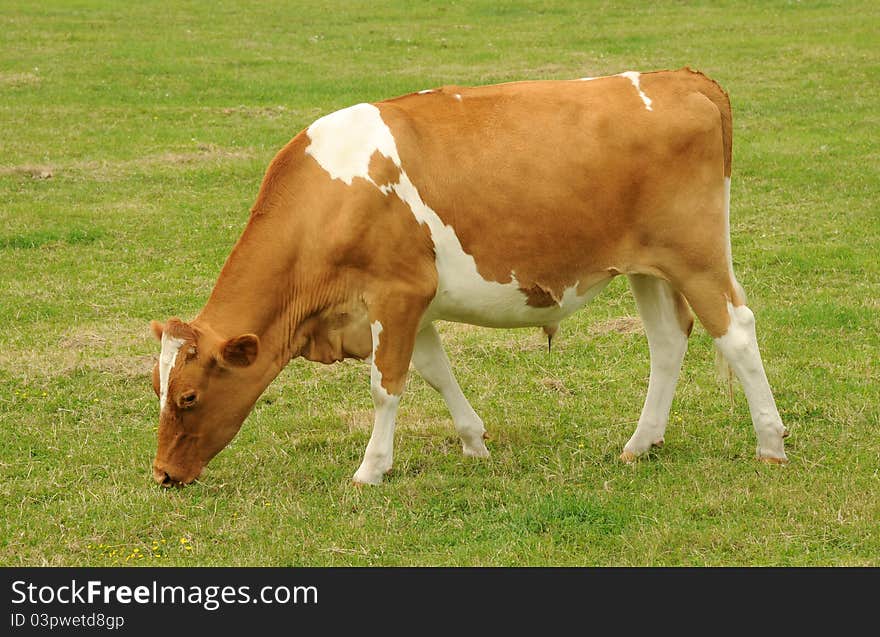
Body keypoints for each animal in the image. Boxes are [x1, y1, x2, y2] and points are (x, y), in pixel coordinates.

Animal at [150, 68, 792, 486]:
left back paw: (770, 443)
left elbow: (387, 385)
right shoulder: (413, 305)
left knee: (736, 330)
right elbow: (435, 373)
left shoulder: (396, 293)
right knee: (667, 342)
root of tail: (681, 78)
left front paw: (371, 469)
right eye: (157, 388)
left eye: (188, 396)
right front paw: (474, 442)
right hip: (648, 267)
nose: (162, 475)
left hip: (696, 255)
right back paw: (641, 443)